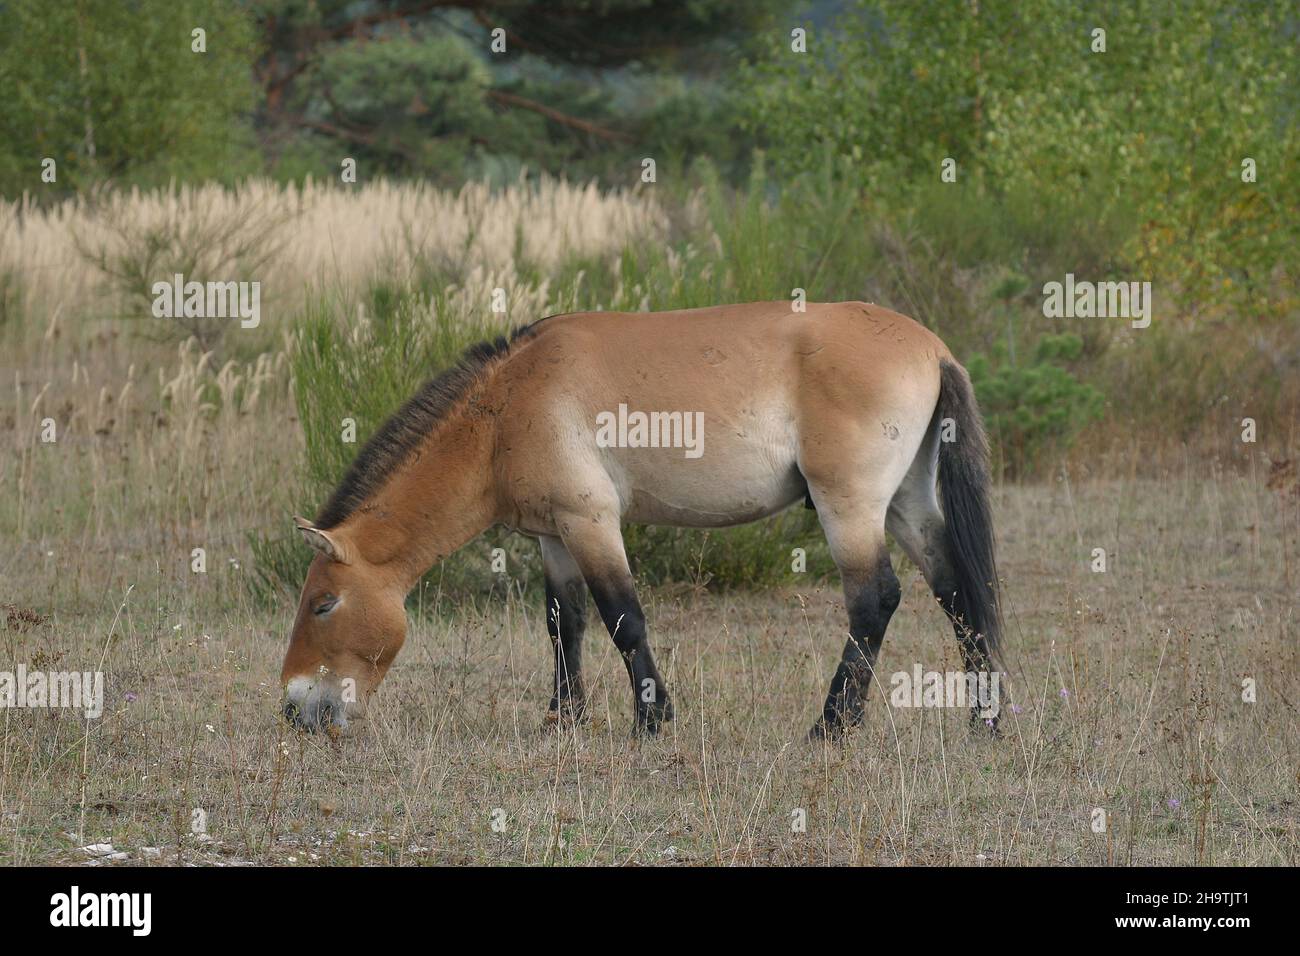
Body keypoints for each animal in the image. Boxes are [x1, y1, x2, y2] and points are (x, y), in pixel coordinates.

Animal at [279, 303, 998, 738]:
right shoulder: (555, 536)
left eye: (322, 604)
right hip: (906, 504)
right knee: (958, 592)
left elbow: (623, 618)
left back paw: (831, 725)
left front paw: (652, 721)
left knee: (875, 599)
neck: (508, 408)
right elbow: (563, 624)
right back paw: (982, 719)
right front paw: (563, 720)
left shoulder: (591, 521)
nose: (293, 706)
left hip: (849, 506)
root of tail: (933, 349)